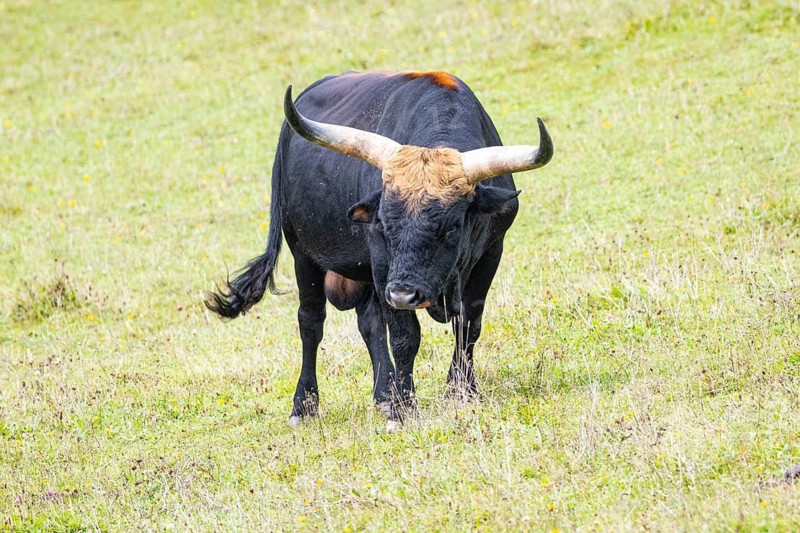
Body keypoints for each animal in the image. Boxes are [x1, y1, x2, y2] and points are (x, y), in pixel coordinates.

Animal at [204, 71, 552, 428]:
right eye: (384, 224)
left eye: (451, 226)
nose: (403, 294)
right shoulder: (383, 263)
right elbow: (405, 337)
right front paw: (405, 410)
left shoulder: (491, 253)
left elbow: (468, 325)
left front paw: (461, 391)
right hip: (303, 252)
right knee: (311, 322)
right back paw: (305, 406)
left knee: (369, 323)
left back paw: (384, 396)